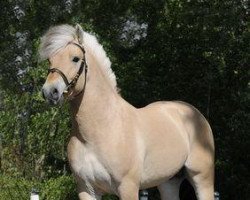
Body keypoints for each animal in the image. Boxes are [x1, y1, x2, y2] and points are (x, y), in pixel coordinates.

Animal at [40, 24, 214, 199]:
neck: (98, 131)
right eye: (50, 60)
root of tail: (194, 113)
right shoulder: (86, 189)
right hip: (168, 182)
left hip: (202, 178)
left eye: (75, 58)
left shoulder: (127, 187)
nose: (50, 92)